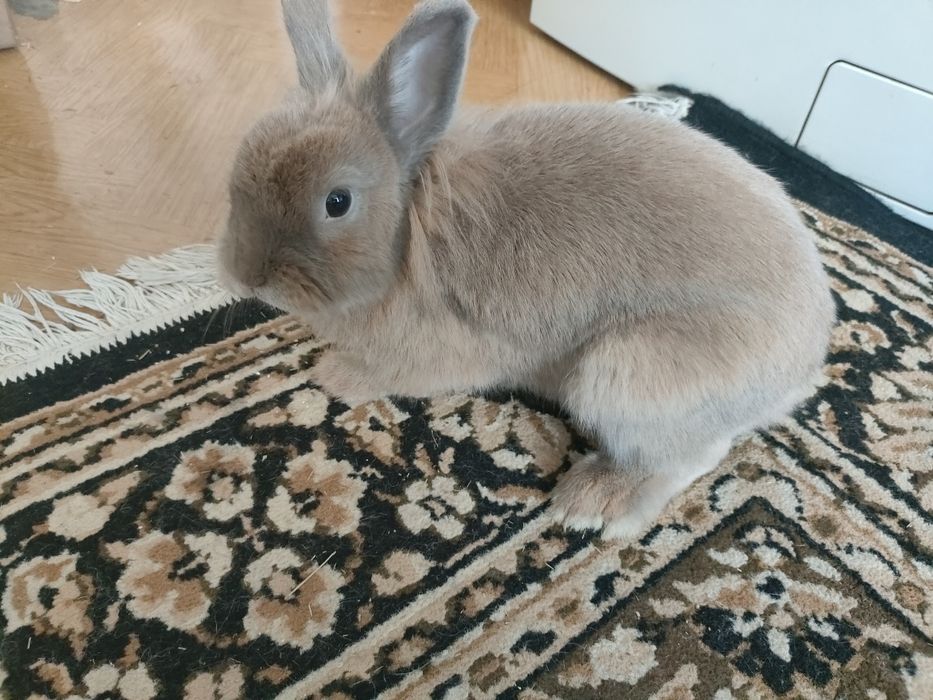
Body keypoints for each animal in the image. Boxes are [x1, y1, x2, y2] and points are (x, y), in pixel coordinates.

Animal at [216, 0, 836, 540]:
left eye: (337, 202)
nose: (246, 276)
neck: (407, 232)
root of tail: (802, 368)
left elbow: (388, 374)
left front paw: (335, 376)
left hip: (625, 371)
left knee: (691, 455)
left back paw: (593, 503)